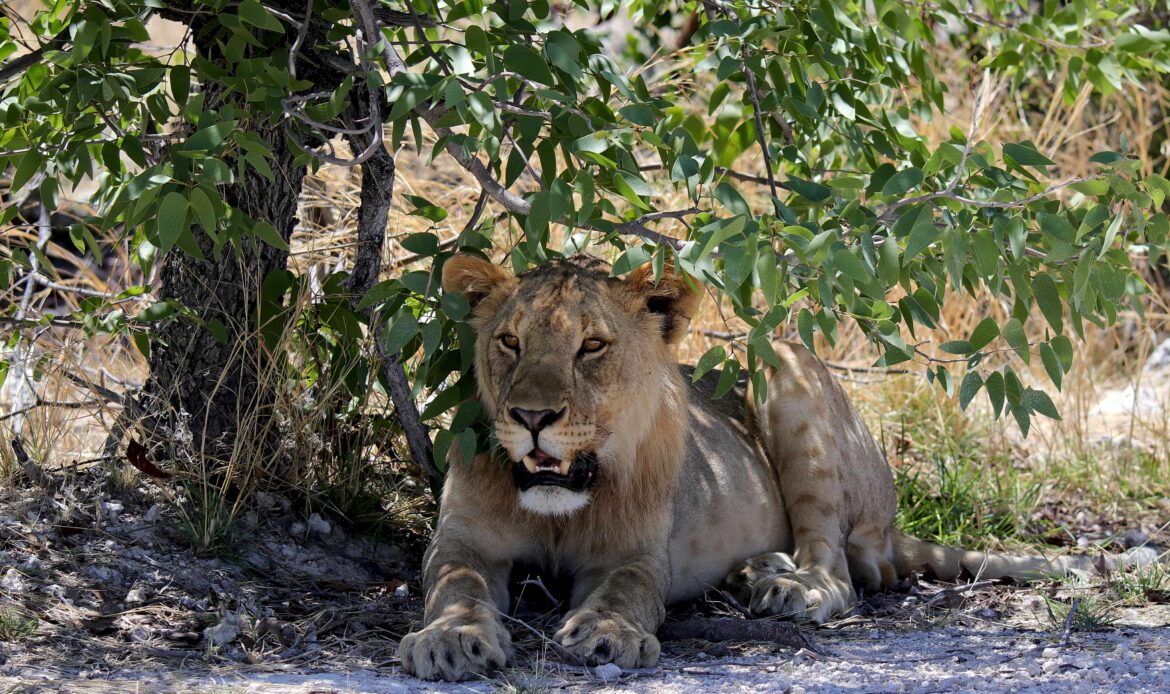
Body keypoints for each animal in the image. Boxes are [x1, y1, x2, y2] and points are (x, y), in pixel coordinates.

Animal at [398, 253, 1131, 681]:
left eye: (592, 346)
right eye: (509, 341)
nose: (532, 416)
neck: (561, 507)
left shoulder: (636, 553)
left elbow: (627, 592)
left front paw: (608, 635)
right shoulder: (462, 539)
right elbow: (456, 584)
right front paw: (449, 641)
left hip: (780, 363)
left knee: (843, 571)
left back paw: (790, 588)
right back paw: (757, 570)